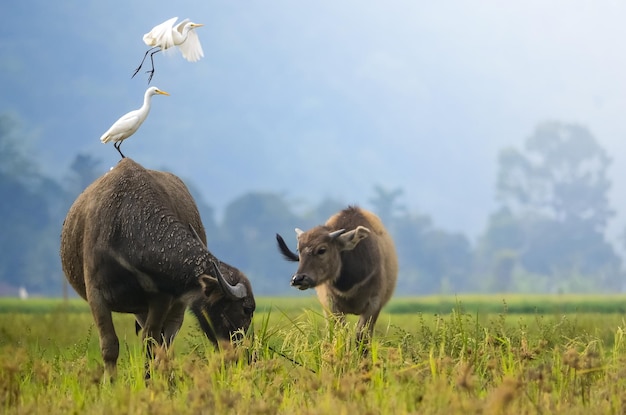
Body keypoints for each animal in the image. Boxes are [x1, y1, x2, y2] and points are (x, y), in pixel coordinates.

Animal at [59, 158, 254, 378]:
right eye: (246, 309)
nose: (242, 353)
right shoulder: (96, 294)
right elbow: (110, 345)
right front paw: (111, 381)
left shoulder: (161, 298)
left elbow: (151, 343)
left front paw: (148, 379)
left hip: (175, 308)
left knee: (166, 340)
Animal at [276, 206, 398, 346]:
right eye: (299, 250)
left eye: (322, 250)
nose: (298, 279)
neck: (349, 285)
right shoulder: (330, 305)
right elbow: (341, 334)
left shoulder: (374, 304)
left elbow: (361, 337)